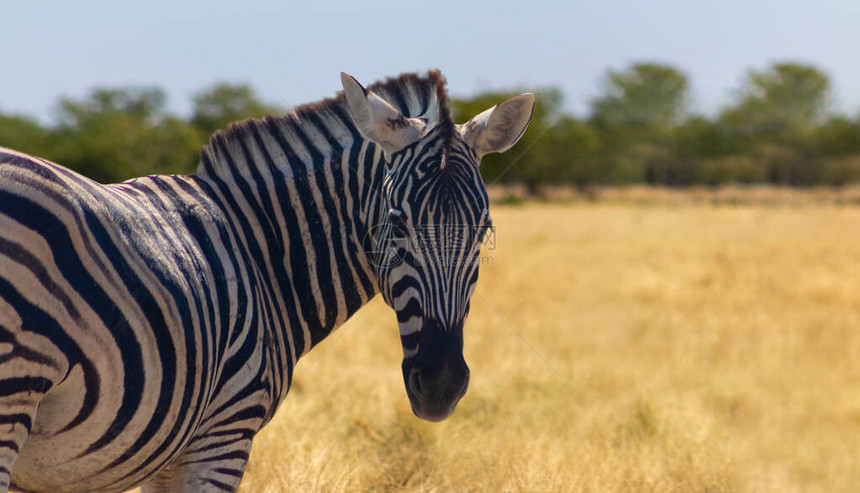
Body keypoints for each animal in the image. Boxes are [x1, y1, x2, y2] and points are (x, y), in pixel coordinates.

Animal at [0, 70, 536, 492]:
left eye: (483, 230)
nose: (441, 387)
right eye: (397, 223)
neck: (261, 249)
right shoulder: (223, 433)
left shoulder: (171, 451)